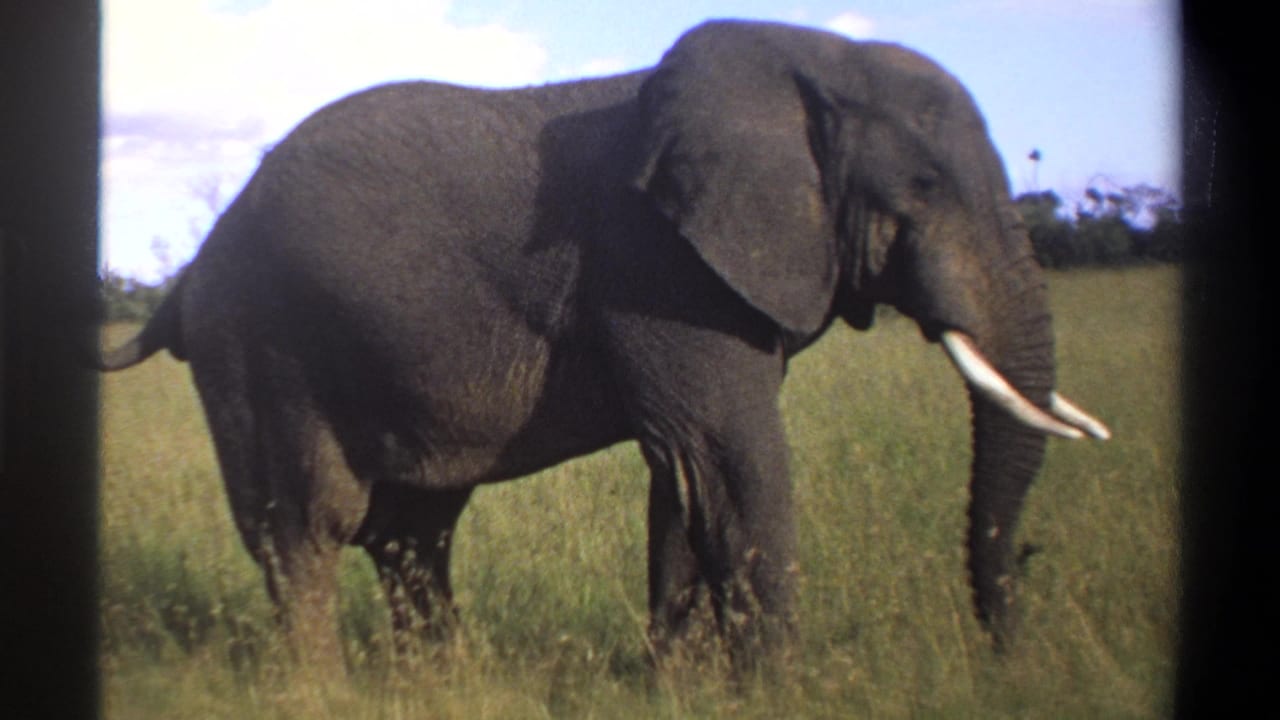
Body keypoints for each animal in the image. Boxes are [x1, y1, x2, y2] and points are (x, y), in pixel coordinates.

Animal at [97, 20, 1109, 669]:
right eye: (925, 187)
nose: (1007, 654)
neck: (808, 54)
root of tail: (188, 274)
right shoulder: (655, 263)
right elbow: (732, 461)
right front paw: (783, 689)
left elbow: (687, 478)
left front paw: (677, 688)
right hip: (260, 346)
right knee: (307, 526)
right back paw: (324, 693)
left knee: (414, 530)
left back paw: (443, 684)